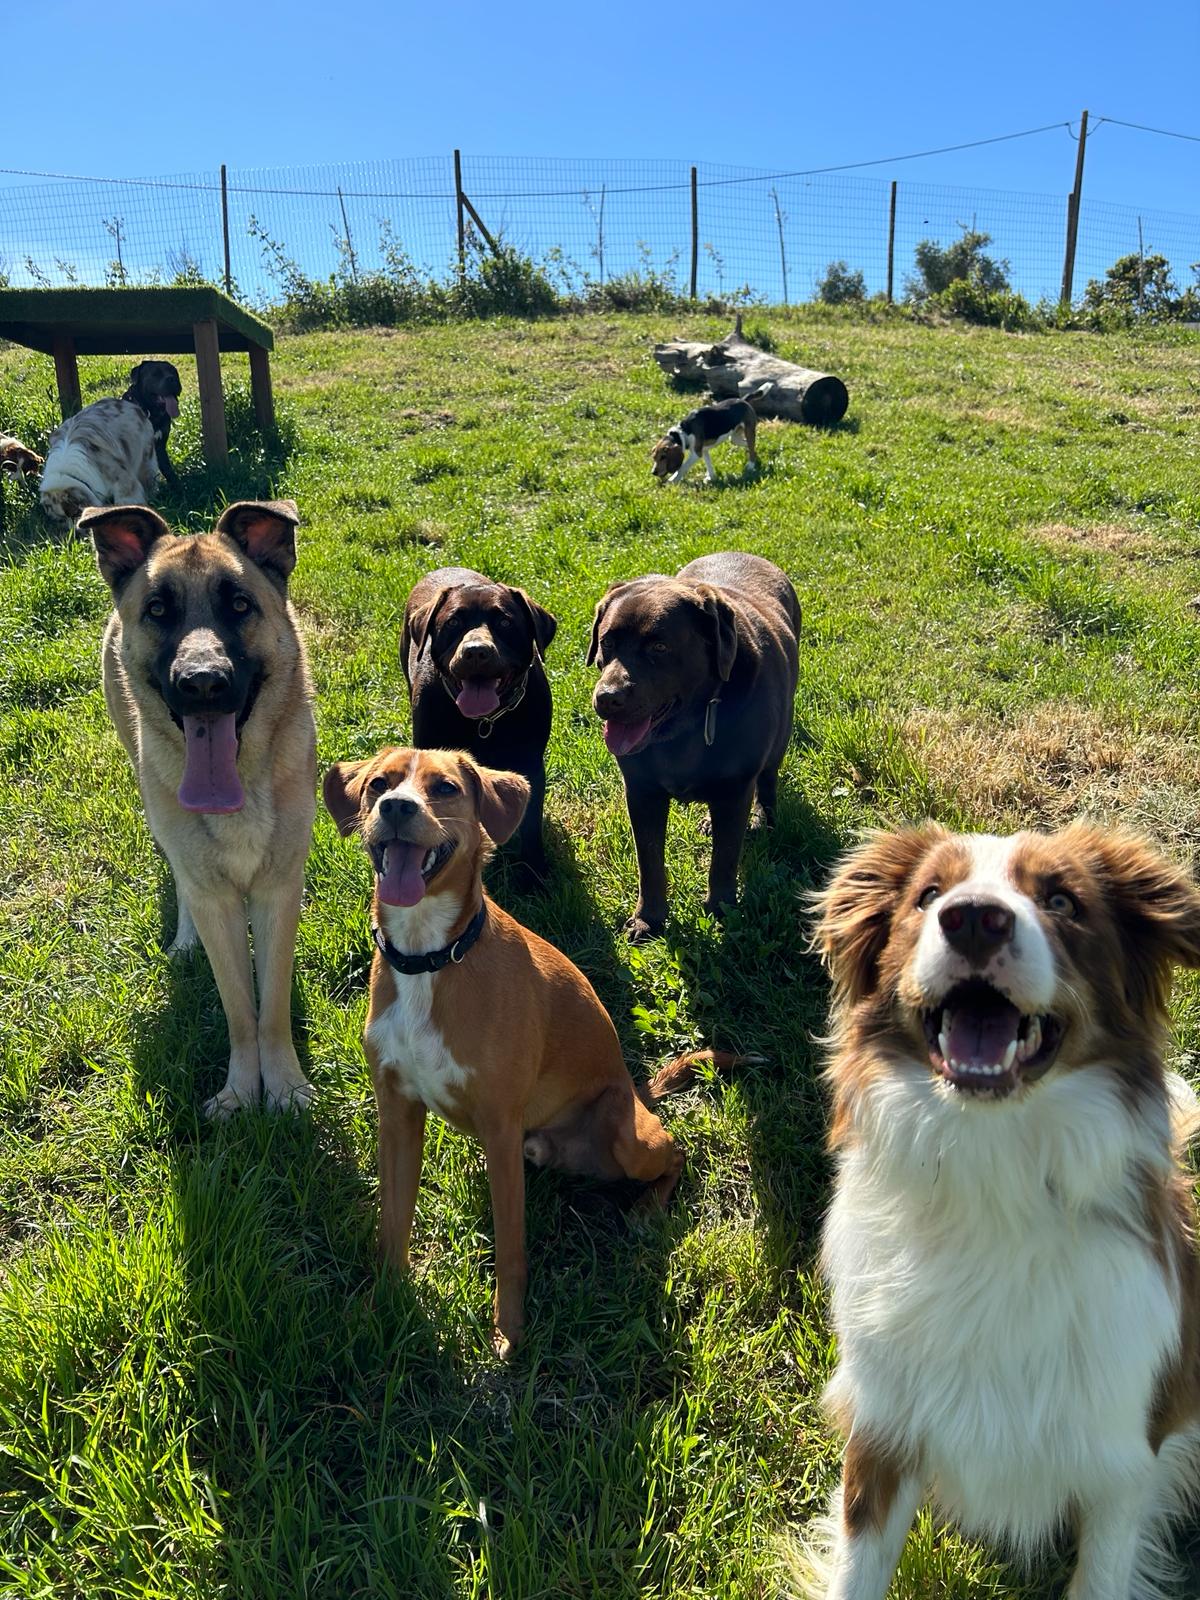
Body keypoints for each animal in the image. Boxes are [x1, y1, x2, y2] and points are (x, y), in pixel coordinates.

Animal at [77, 496, 316, 1113]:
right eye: (159, 610)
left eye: (239, 604)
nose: (203, 683)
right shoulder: (216, 900)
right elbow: (239, 1010)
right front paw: (242, 1091)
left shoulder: (279, 891)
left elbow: (270, 1005)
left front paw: (284, 1087)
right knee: (181, 879)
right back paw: (185, 938)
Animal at [321, 742, 732, 1356]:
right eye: (378, 784)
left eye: (444, 788)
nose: (395, 807)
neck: (429, 958)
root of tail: (638, 1092)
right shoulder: (397, 1113)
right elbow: (391, 1225)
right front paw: (383, 1305)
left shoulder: (499, 1123)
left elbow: (511, 1246)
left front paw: (508, 1329)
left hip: (627, 1135)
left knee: (678, 1155)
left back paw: (646, 1210)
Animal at [401, 569, 556, 883]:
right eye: (453, 622)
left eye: (505, 622)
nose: (476, 651)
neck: (484, 722)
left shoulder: (531, 765)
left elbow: (531, 827)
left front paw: (533, 874)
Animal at [588, 556, 800, 940]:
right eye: (607, 643)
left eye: (659, 648)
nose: (607, 698)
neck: (685, 730)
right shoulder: (641, 791)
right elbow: (649, 861)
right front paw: (649, 919)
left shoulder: (735, 789)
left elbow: (725, 858)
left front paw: (722, 910)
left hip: (780, 736)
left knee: (768, 780)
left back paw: (762, 818)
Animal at [793, 825, 1200, 1600]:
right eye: (928, 895)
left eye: (1062, 900)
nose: (975, 919)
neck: (994, 1180)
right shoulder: (885, 1429)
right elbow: (858, 1571)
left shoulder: (1122, 1459)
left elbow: (1100, 1576)